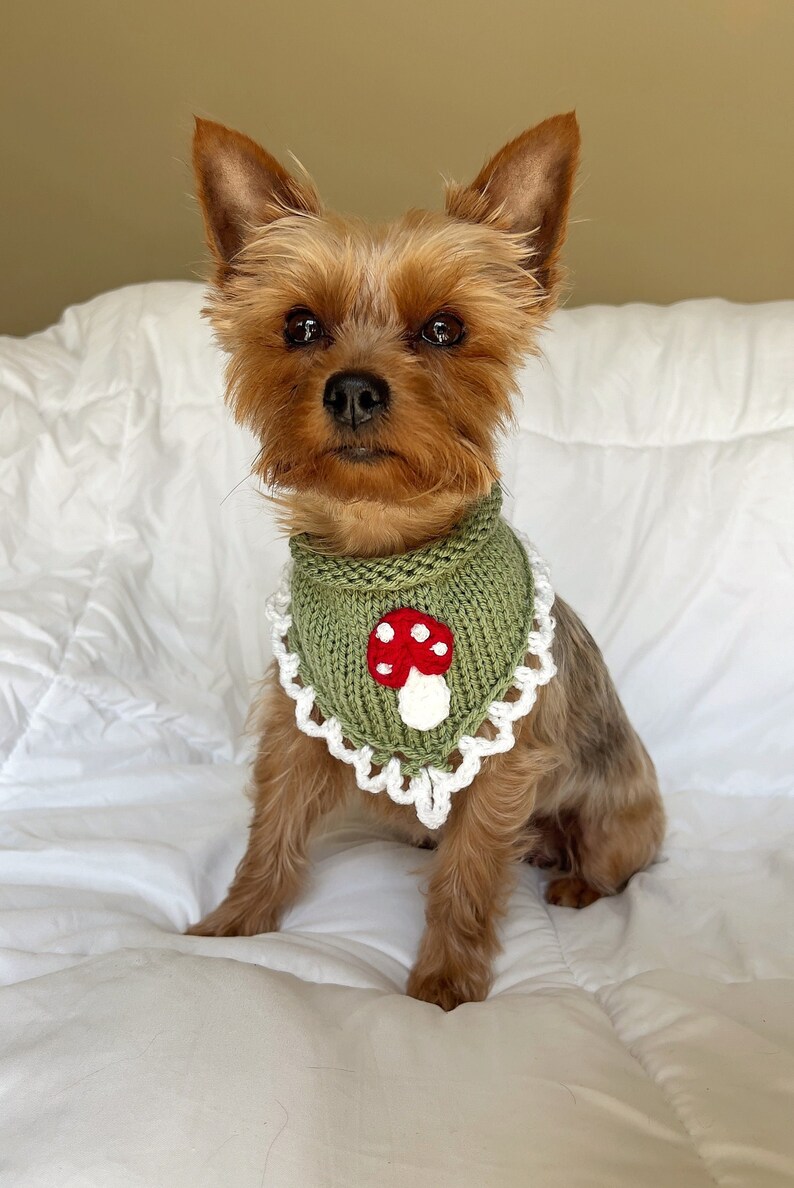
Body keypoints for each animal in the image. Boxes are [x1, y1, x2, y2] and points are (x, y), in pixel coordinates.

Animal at [187, 111, 665, 1007]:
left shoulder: (505, 760)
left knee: (615, 862)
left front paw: (444, 982)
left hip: (619, 813)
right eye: (300, 326)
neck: (386, 549)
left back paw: (571, 877)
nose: (352, 390)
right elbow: (271, 830)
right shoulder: (298, 728)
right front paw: (233, 924)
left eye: (445, 329)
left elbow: (470, 872)